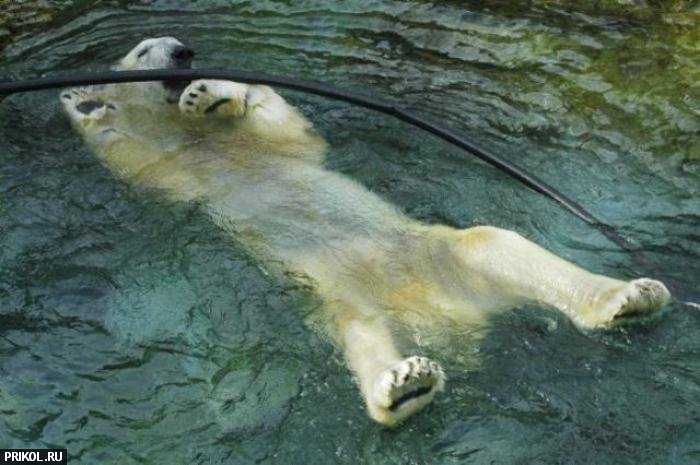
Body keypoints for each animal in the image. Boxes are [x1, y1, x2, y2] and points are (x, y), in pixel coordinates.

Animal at [60, 37, 671, 426]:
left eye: (178, 46)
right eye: (145, 51)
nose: (184, 54)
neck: (196, 142)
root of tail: (447, 321)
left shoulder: (253, 146)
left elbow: (293, 133)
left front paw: (213, 92)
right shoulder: (168, 172)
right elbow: (139, 158)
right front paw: (87, 104)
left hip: (439, 255)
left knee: (491, 242)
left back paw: (627, 297)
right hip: (339, 298)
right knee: (361, 332)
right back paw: (404, 385)